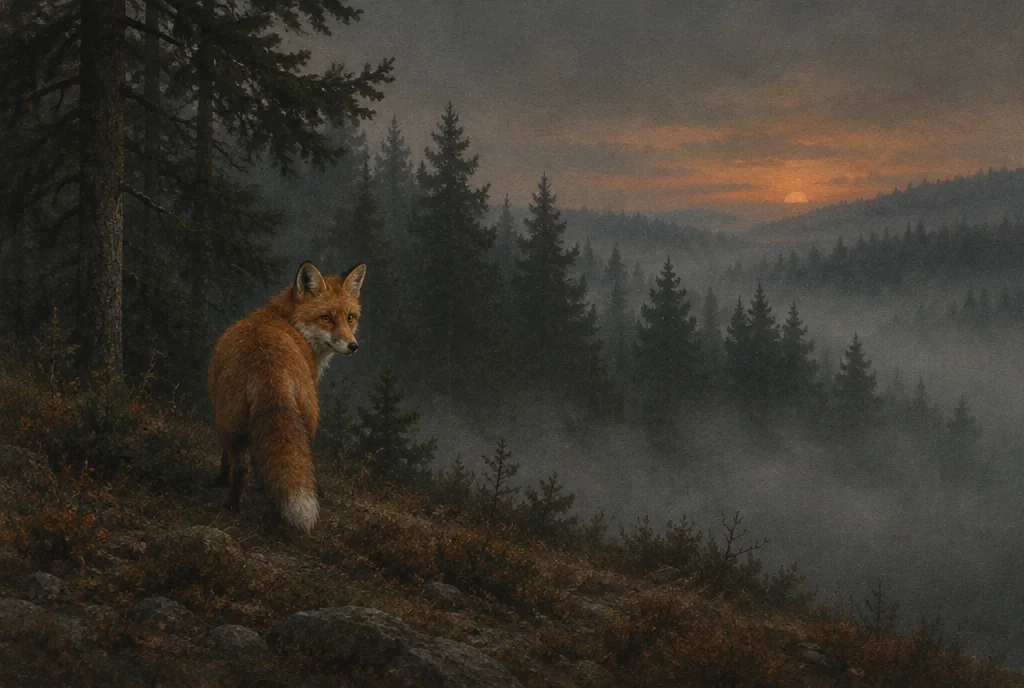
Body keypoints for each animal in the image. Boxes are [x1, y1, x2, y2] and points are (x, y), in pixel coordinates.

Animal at [207, 260, 366, 534]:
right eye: (326, 318)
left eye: (350, 317)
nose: (352, 346)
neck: (287, 322)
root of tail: (267, 367)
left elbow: (226, 457)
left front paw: (220, 480)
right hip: (308, 417)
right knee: (300, 461)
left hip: (228, 421)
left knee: (241, 468)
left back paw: (232, 507)